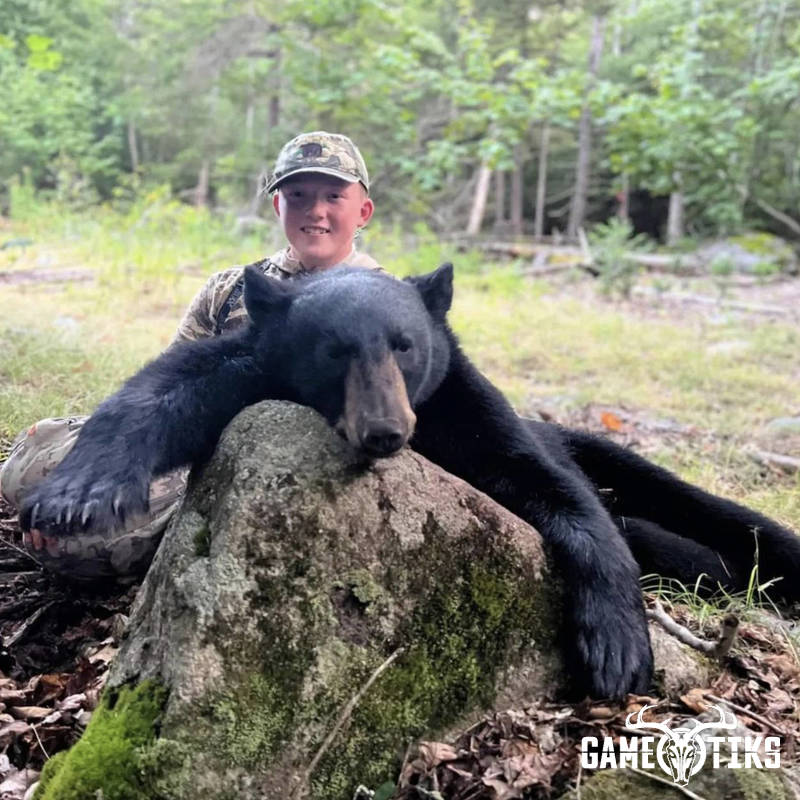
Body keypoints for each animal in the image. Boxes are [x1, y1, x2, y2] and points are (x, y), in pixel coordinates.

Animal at [19, 263, 800, 699]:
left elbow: (553, 488)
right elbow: (158, 393)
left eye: (405, 345)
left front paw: (615, 649)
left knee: (691, 504)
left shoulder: (465, 407)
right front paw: (75, 497)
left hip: (611, 452)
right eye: (333, 349)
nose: (386, 431)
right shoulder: (249, 370)